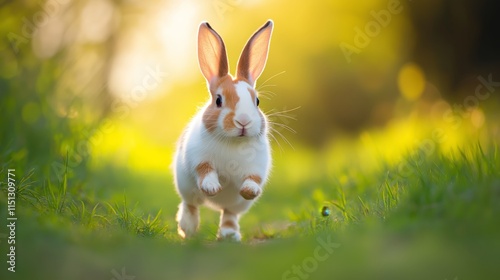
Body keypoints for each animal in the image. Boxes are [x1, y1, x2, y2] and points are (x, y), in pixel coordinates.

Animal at [172, 20, 274, 242]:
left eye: (257, 101)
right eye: (218, 100)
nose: (243, 121)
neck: (233, 141)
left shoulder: (256, 166)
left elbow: (253, 179)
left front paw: (250, 190)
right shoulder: (199, 158)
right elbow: (205, 171)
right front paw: (213, 187)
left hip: (236, 206)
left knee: (229, 213)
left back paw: (229, 235)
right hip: (185, 188)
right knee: (190, 205)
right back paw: (188, 230)